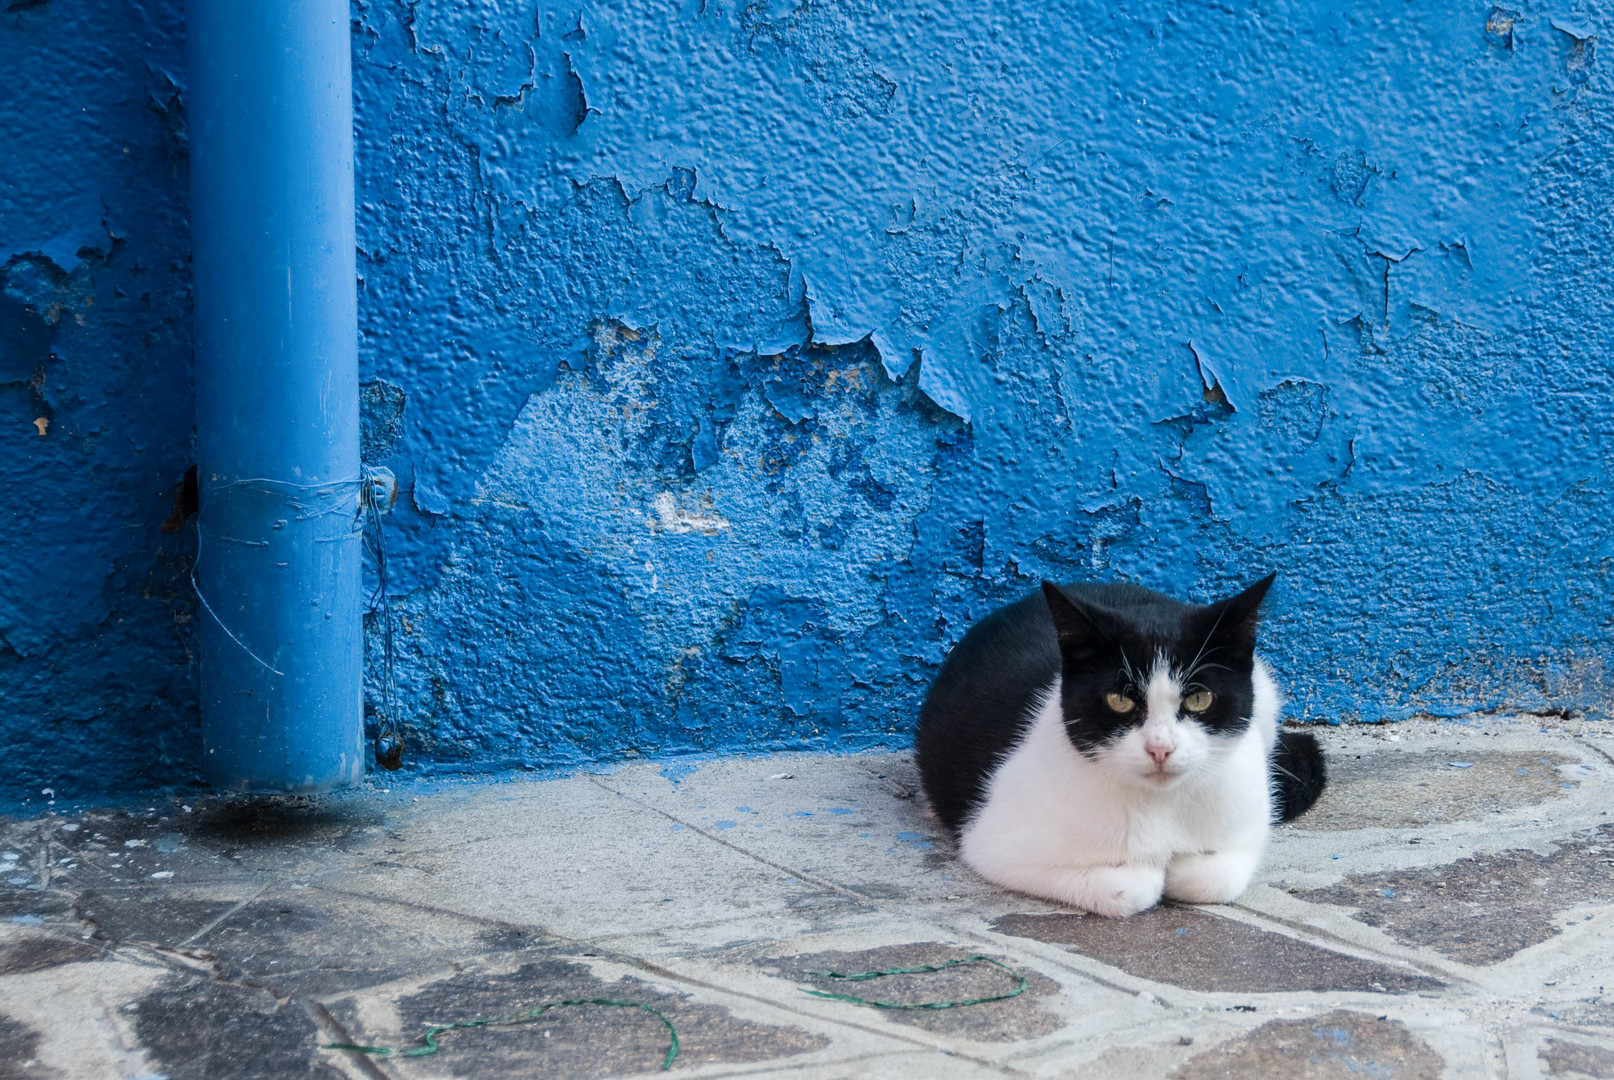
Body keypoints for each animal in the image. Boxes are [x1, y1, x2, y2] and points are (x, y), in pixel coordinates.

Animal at [916, 577, 1329, 916]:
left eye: (1199, 699)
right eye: (1119, 700)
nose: (1160, 748)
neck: (1161, 806)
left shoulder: (1247, 821)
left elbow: (1214, 878)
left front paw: (1182, 866)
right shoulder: (992, 843)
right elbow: (1132, 886)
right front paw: (1154, 871)